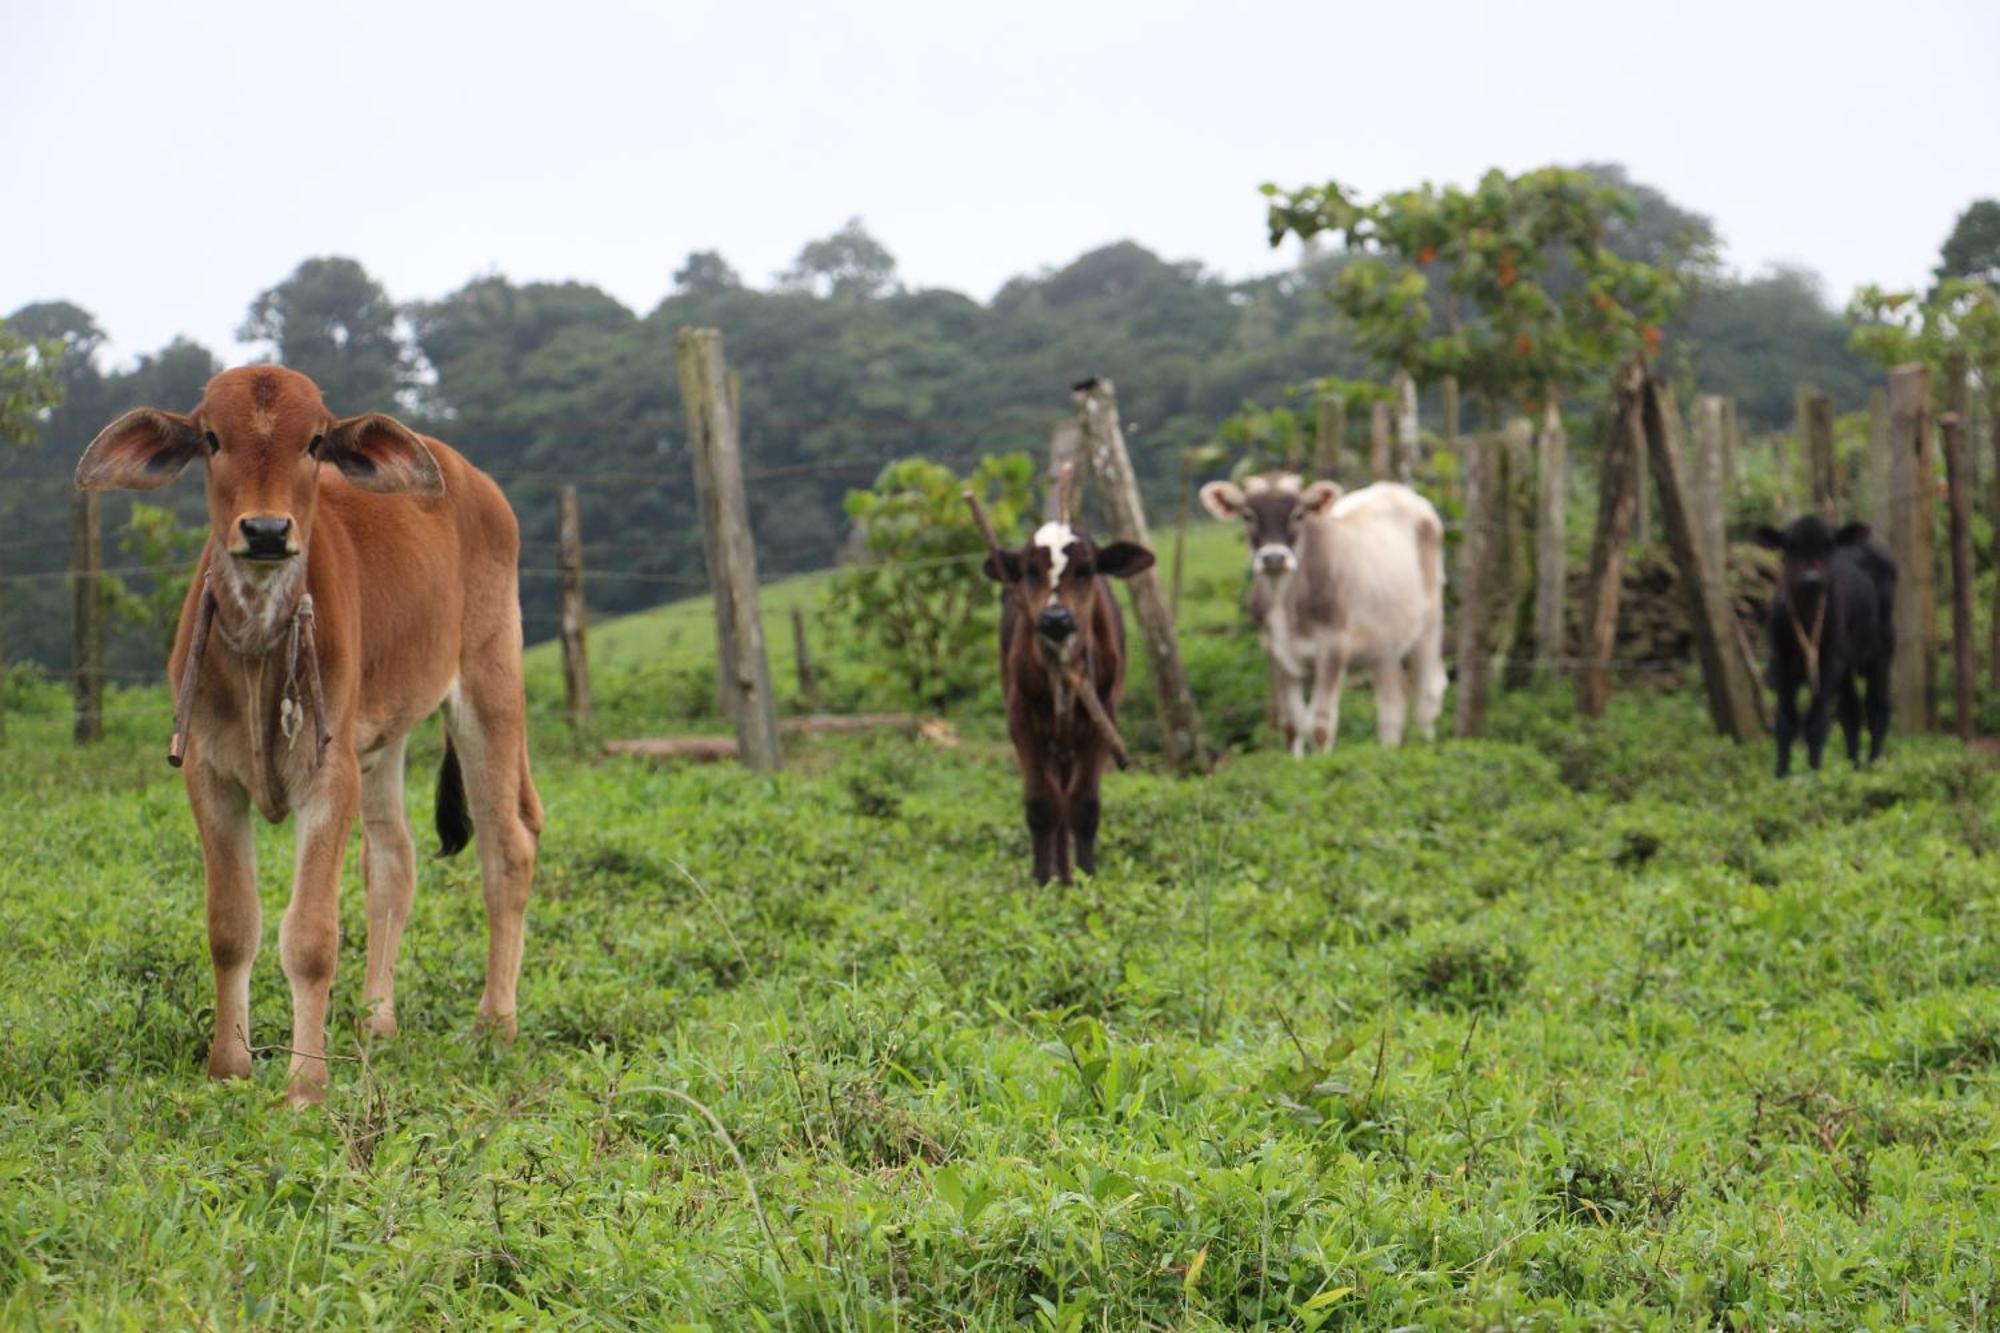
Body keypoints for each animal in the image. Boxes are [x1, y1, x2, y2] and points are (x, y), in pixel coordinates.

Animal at [79, 366, 540, 1096]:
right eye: (212, 438)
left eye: (316, 441)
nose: (267, 530)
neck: (258, 643)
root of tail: (473, 479)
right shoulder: (210, 775)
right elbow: (231, 925)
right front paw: (229, 1066)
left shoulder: (329, 776)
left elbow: (311, 937)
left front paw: (305, 1084)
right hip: (381, 738)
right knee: (393, 860)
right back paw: (376, 1018)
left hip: (490, 683)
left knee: (509, 849)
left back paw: (495, 1023)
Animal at [984, 520, 1160, 880]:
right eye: (1030, 570)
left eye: (1086, 569)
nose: (1056, 619)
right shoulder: (1020, 718)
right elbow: (1041, 805)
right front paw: (1041, 881)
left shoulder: (1102, 718)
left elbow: (1084, 805)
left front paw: (1087, 877)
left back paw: (1068, 877)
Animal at [1192, 474, 1448, 748]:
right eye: (1248, 515)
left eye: (1298, 514)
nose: (1274, 558)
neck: (1284, 606)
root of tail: (1395, 489)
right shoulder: (1276, 653)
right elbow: (1292, 726)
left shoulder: (1333, 648)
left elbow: (1320, 726)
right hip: (1384, 645)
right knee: (1393, 705)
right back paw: (1388, 751)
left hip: (1430, 623)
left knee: (1426, 698)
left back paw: (1426, 746)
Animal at [1760, 512, 1896, 772]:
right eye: (1790, 545)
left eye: (1829, 544)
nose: (1812, 579)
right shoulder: (1781, 664)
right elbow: (1785, 723)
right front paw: (1781, 775)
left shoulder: (1829, 662)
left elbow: (1815, 725)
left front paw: (1814, 775)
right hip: (1846, 666)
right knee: (1851, 714)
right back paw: (1854, 767)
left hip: (1882, 649)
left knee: (1876, 709)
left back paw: (1873, 764)